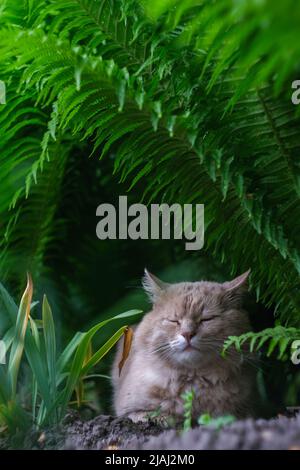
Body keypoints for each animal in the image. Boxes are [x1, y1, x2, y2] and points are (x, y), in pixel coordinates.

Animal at [111, 268, 256, 422]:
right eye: (174, 321)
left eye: (207, 319)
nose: (187, 334)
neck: (192, 383)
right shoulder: (128, 410)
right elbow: (146, 414)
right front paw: (162, 417)